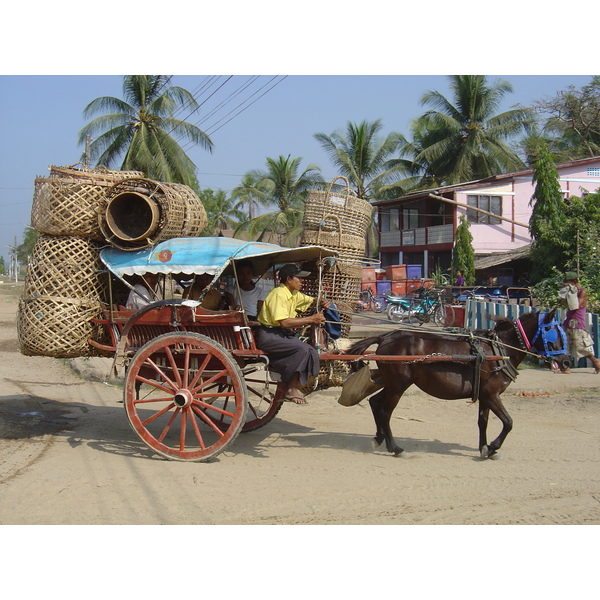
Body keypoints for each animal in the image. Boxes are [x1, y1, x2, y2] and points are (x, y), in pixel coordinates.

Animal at [344, 310, 568, 460]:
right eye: (553, 330)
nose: (566, 362)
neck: (500, 349)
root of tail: (386, 336)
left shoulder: (485, 395)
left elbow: (483, 422)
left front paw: (484, 448)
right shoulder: (492, 394)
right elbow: (509, 422)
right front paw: (493, 446)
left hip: (394, 384)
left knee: (375, 402)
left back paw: (378, 438)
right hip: (398, 386)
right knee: (384, 411)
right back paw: (395, 447)